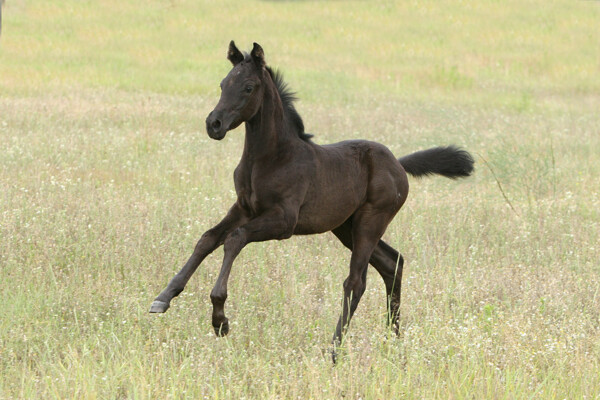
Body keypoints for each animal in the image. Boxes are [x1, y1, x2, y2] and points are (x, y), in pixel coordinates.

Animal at [151, 41, 474, 362]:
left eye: (248, 87)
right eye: (222, 84)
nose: (214, 124)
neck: (270, 157)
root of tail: (398, 163)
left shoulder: (283, 220)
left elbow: (235, 238)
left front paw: (220, 319)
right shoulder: (243, 208)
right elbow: (207, 239)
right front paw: (163, 298)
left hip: (371, 221)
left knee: (355, 281)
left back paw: (335, 349)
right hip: (346, 226)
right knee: (391, 263)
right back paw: (392, 341)